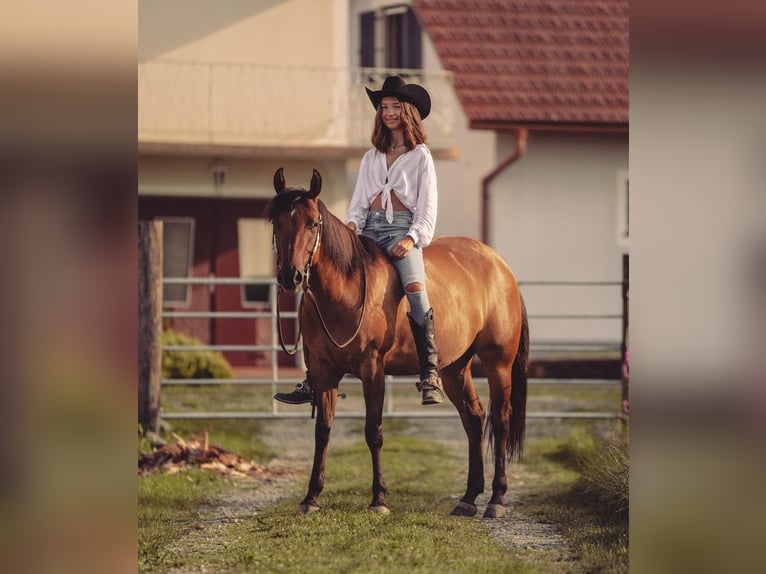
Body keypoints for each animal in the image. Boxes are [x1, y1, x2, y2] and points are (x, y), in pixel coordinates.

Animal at [268, 169, 528, 520]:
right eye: (277, 222)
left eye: (312, 223)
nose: (290, 277)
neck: (347, 288)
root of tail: (501, 267)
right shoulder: (323, 373)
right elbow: (322, 432)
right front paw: (311, 497)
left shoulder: (372, 370)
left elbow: (373, 431)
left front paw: (378, 498)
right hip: (454, 369)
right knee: (474, 418)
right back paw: (469, 497)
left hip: (497, 363)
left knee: (499, 421)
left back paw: (496, 500)